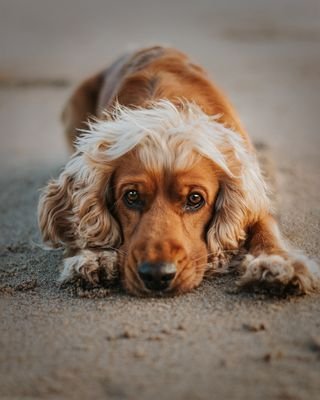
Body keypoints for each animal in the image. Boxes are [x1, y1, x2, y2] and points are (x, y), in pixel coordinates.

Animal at [38, 47, 320, 296]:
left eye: (195, 199)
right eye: (131, 196)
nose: (156, 275)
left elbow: (265, 227)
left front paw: (276, 264)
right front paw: (95, 258)